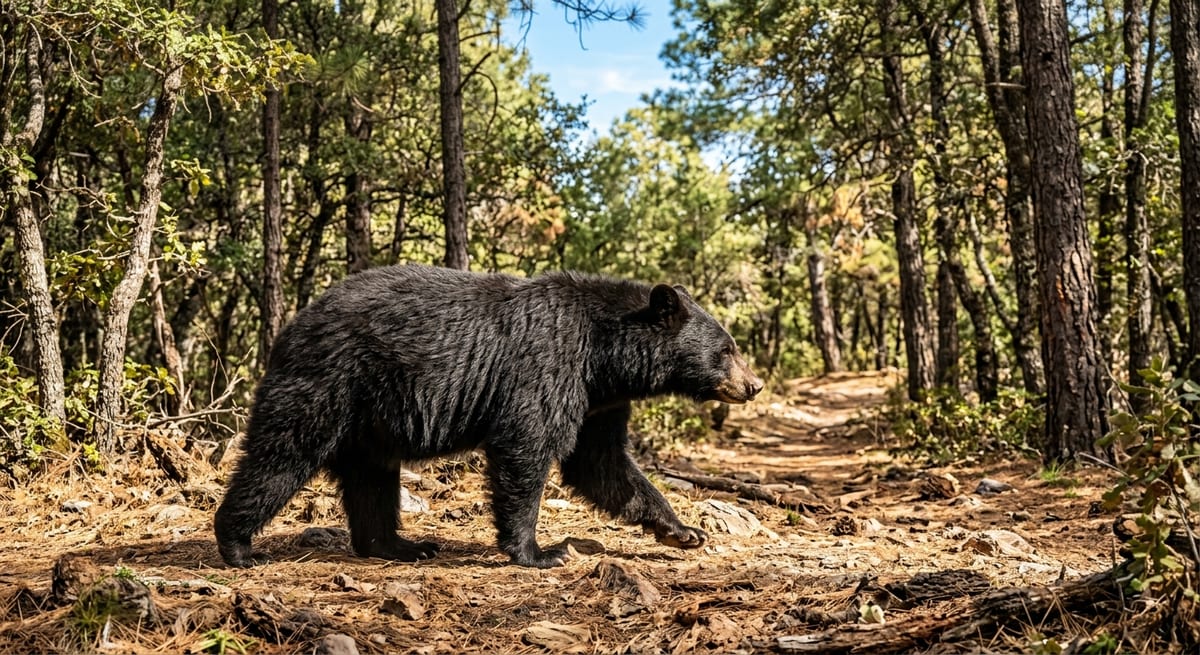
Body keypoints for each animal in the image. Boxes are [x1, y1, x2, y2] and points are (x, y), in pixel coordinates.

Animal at [214, 264, 763, 569]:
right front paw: (540, 552)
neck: (603, 355)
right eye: (728, 348)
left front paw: (682, 530)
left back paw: (401, 546)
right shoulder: (547, 366)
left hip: (370, 422)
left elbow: (602, 465)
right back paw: (238, 545)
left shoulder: (598, 402)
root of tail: (289, 328)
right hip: (329, 384)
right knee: (281, 454)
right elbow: (527, 446)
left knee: (372, 481)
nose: (753, 385)